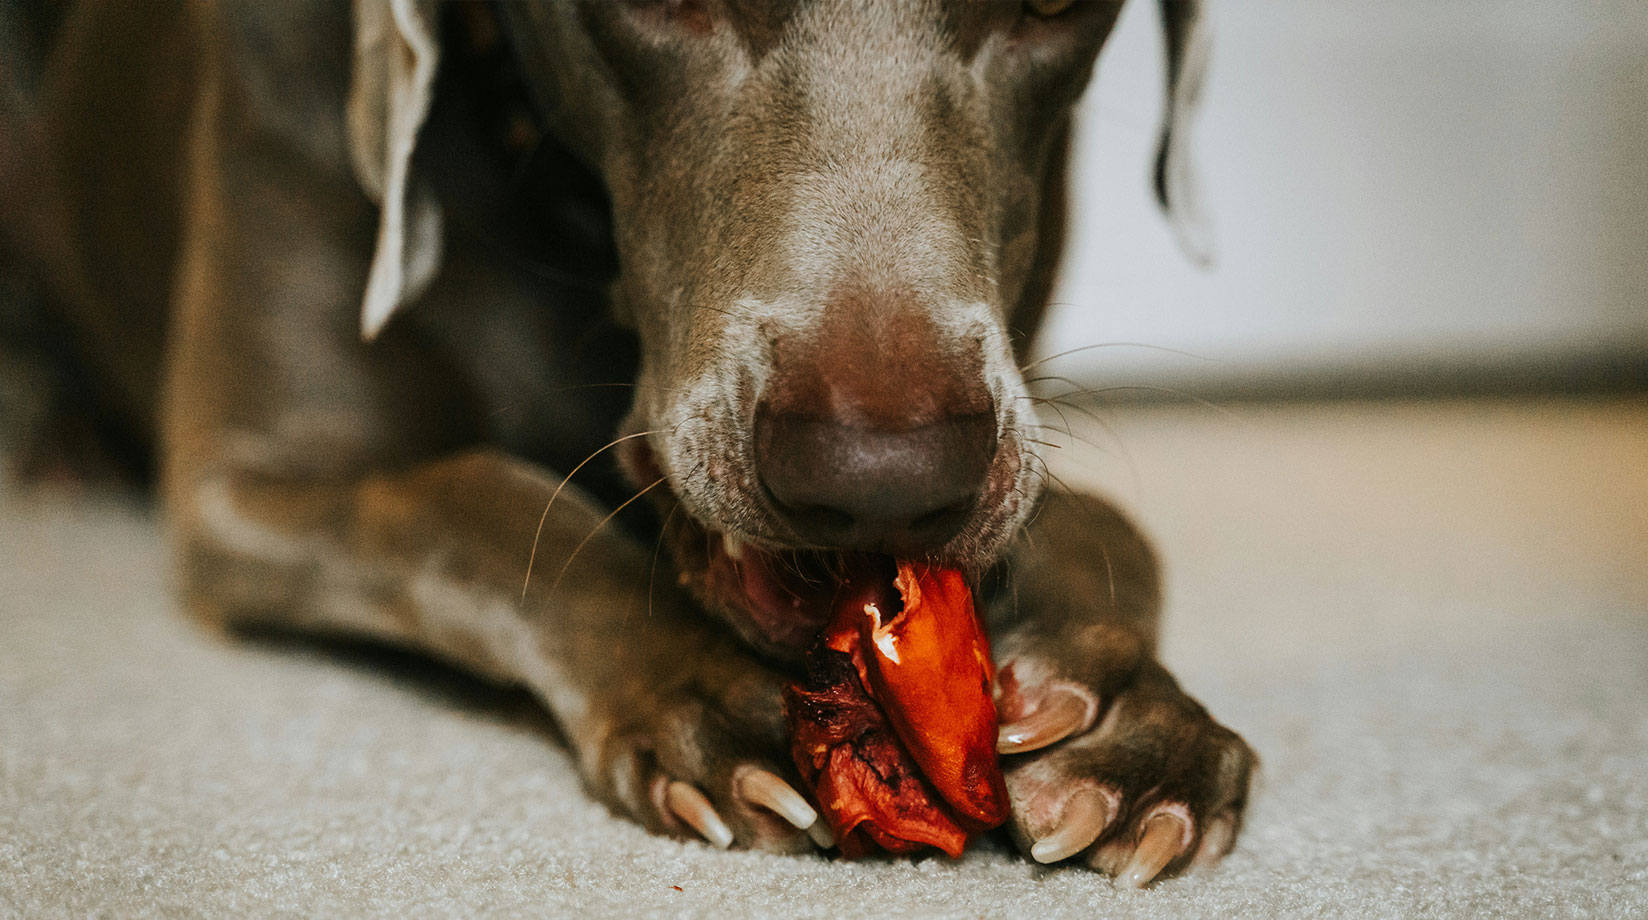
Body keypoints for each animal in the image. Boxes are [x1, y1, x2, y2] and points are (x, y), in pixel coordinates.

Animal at [3, 0, 1245, 896]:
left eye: (1050, 2)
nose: (877, 482)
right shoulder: (244, 486)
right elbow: (476, 498)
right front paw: (699, 686)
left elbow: (1109, 521)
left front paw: (1131, 719)